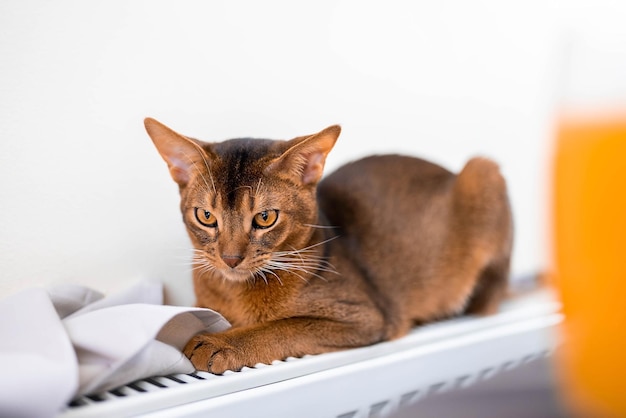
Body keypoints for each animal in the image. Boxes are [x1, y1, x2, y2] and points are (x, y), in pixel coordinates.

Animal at [145, 116, 512, 372]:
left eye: (265, 218)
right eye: (206, 216)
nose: (230, 258)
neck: (235, 294)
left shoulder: (366, 317)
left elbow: (282, 326)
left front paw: (219, 344)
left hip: (483, 171)